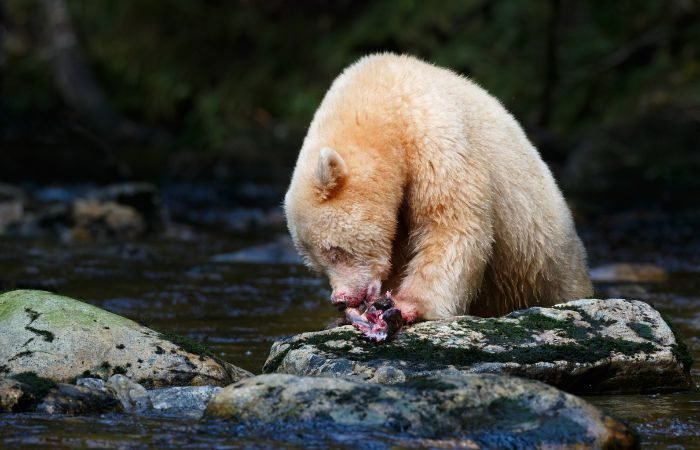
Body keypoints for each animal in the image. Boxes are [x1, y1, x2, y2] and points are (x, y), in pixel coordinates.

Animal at [284, 53, 593, 324]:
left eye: (335, 250)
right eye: (317, 265)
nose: (340, 300)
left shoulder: (435, 137)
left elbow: (451, 224)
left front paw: (404, 306)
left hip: (545, 260)